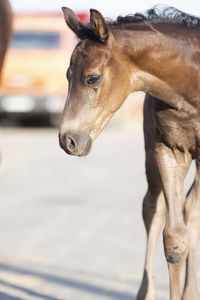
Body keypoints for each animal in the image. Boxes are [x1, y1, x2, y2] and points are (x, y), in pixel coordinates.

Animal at [58, 5, 200, 300]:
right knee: (153, 209)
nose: (68, 139)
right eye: (67, 75)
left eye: (93, 77)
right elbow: (174, 240)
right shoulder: (169, 149)